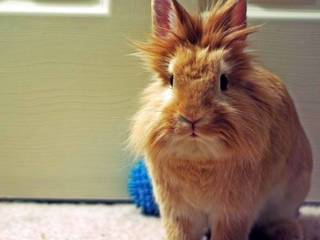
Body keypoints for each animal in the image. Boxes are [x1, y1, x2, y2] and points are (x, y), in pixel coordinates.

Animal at [128, 0, 312, 240]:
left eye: (224, 81)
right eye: (171, 79)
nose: (192, 117)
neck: (198, 155)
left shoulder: (234, 212)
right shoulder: (178, 214)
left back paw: (288, 232)